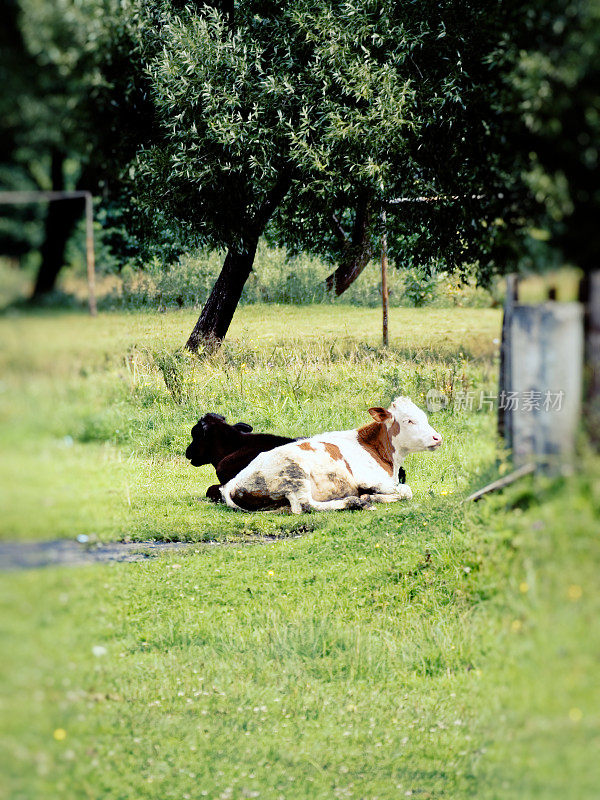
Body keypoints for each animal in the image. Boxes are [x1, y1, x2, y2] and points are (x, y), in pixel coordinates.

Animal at [220, 398, 440, 516]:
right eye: (409, 420)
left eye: (424, 417)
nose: (438, 437)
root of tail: (232, 483)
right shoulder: (370, 480)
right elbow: (406, 490)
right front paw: (369, 497)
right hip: (294, 474)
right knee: (305, 506)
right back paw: (355, 502)